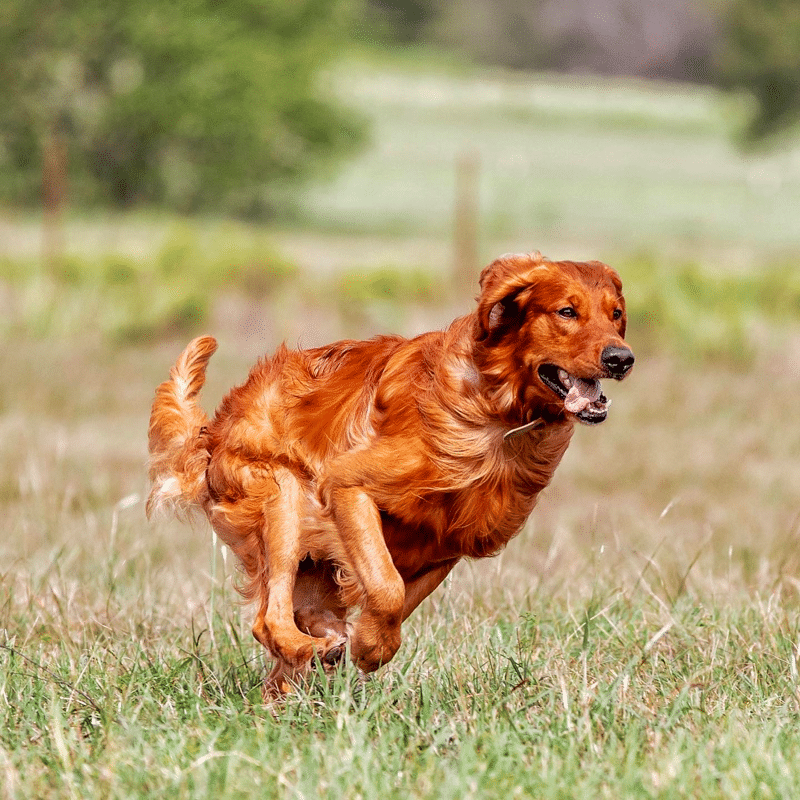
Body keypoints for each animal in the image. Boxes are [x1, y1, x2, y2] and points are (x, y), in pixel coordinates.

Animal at [147, 253, 636, 696]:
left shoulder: (444, 544)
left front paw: (365, 640)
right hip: (282, 497)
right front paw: (369, 647)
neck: (499, 412)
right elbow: (387, 588)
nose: (621, 358)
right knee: (269, 620)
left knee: (284, 650)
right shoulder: (346, 484)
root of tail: (214, 431)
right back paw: (313, 647)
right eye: (567, 312)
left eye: (616, 315)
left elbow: (400, 597)